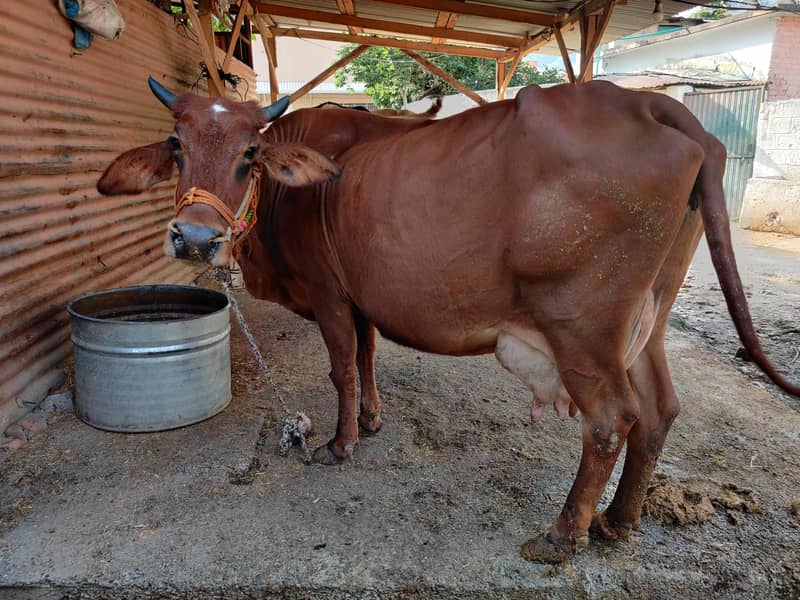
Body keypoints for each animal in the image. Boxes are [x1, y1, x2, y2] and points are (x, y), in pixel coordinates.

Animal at [97, 78, 799, 563]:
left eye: (249, 153)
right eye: (177, 146)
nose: (194, 238)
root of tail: (653, 105)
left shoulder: (328, 295)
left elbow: (340, 368)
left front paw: (341, 443)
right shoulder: (361, 297)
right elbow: (366, 356)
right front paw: (373, 421)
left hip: (584, 330)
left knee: (611, 421)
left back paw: (561, 535)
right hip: (647, 322)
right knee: (660, 411)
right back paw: (619, 521)